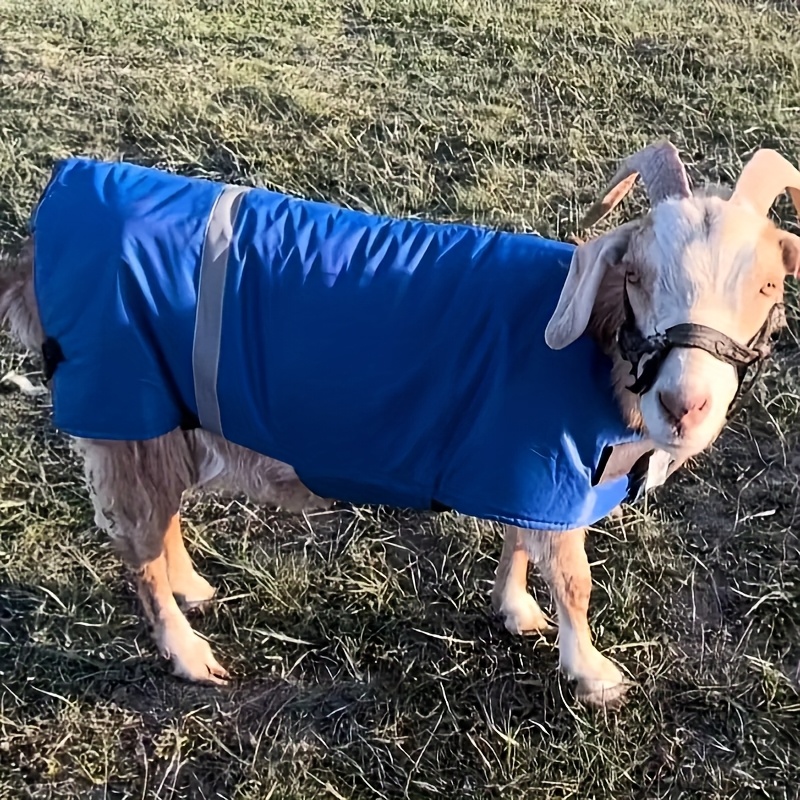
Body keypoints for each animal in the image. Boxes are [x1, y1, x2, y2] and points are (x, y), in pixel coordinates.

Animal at [0, 141, 797, 708]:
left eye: (767, 285)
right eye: (635, 275)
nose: (685, 404)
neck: (594, 351)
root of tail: (35, 246)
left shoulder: (522, 468)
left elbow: (518, 543)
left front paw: (515, 611)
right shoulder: (543, 468)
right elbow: (573, 580)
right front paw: (595, 675)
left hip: (163, 418)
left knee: (158, 523)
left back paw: (193, 587)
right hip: (126, 416)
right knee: (136, 547)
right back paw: (189, 654)